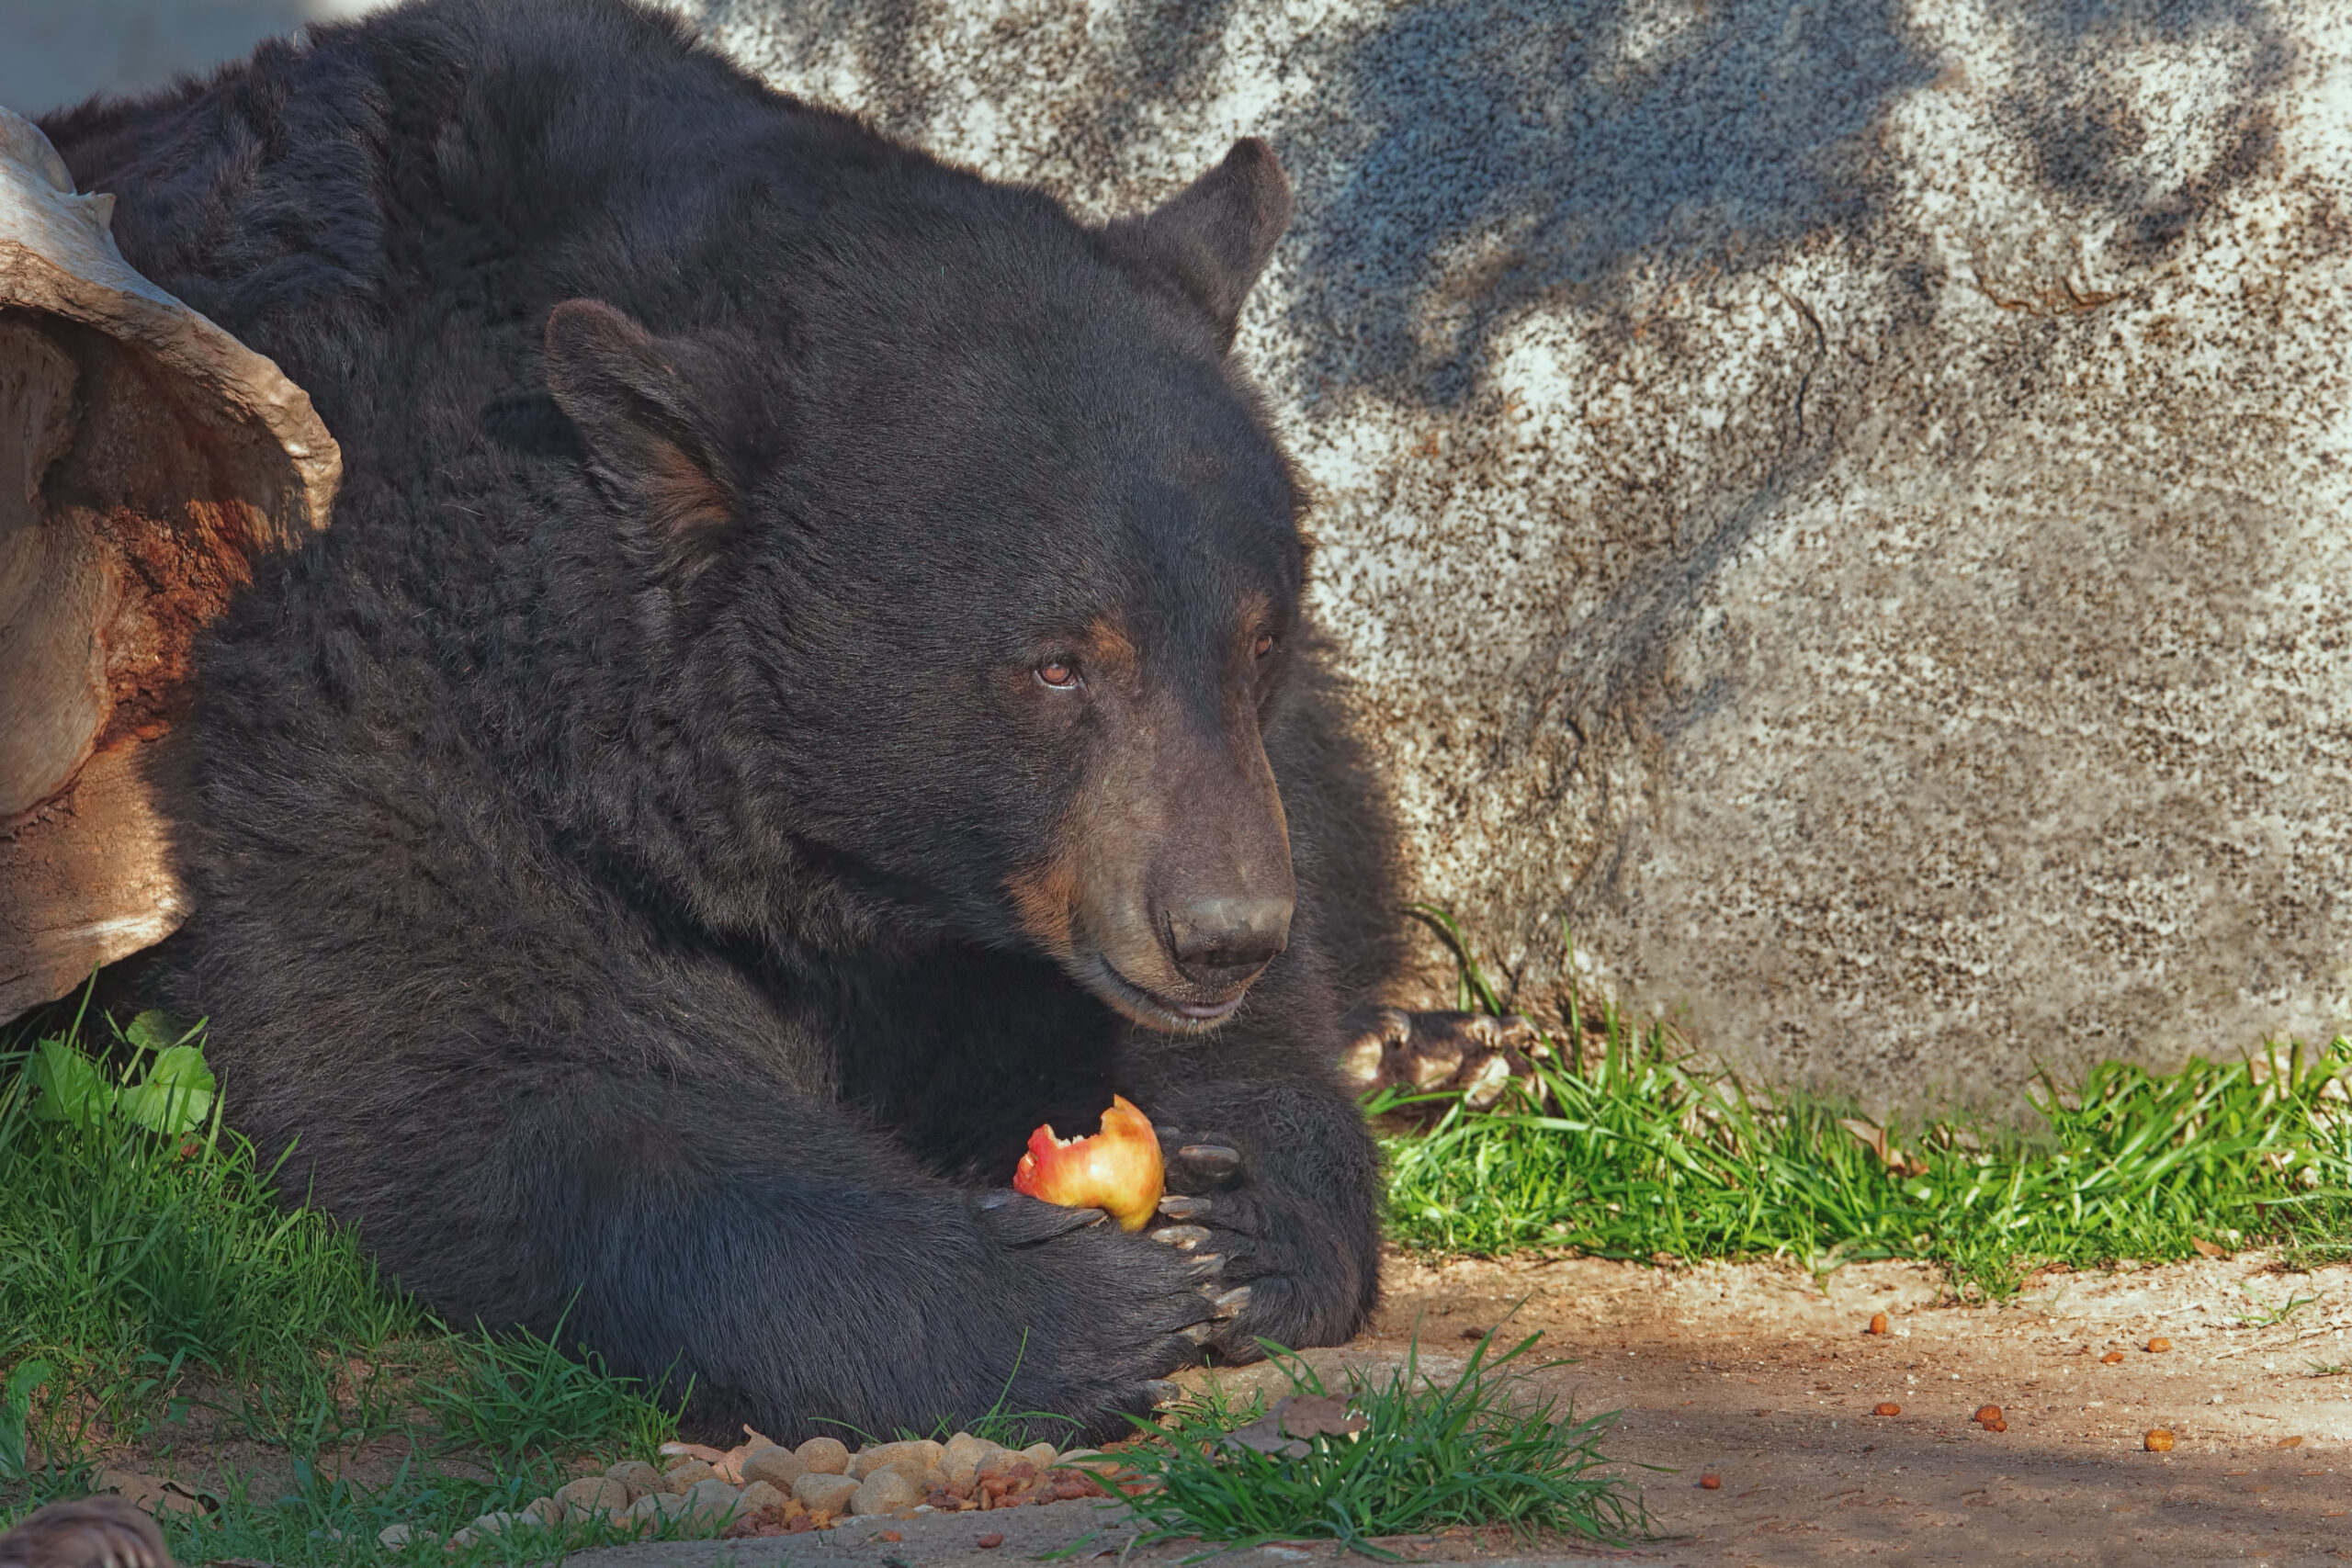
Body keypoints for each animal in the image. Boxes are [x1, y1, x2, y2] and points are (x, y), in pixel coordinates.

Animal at [40, 0, 1398, 1441]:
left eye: (1259, 636)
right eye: (1056, 666)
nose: (1220, 935)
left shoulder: (1118, 844)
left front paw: (1241, 1216)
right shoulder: (362, 704)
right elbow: (480, 1065)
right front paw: (1048, 1299)